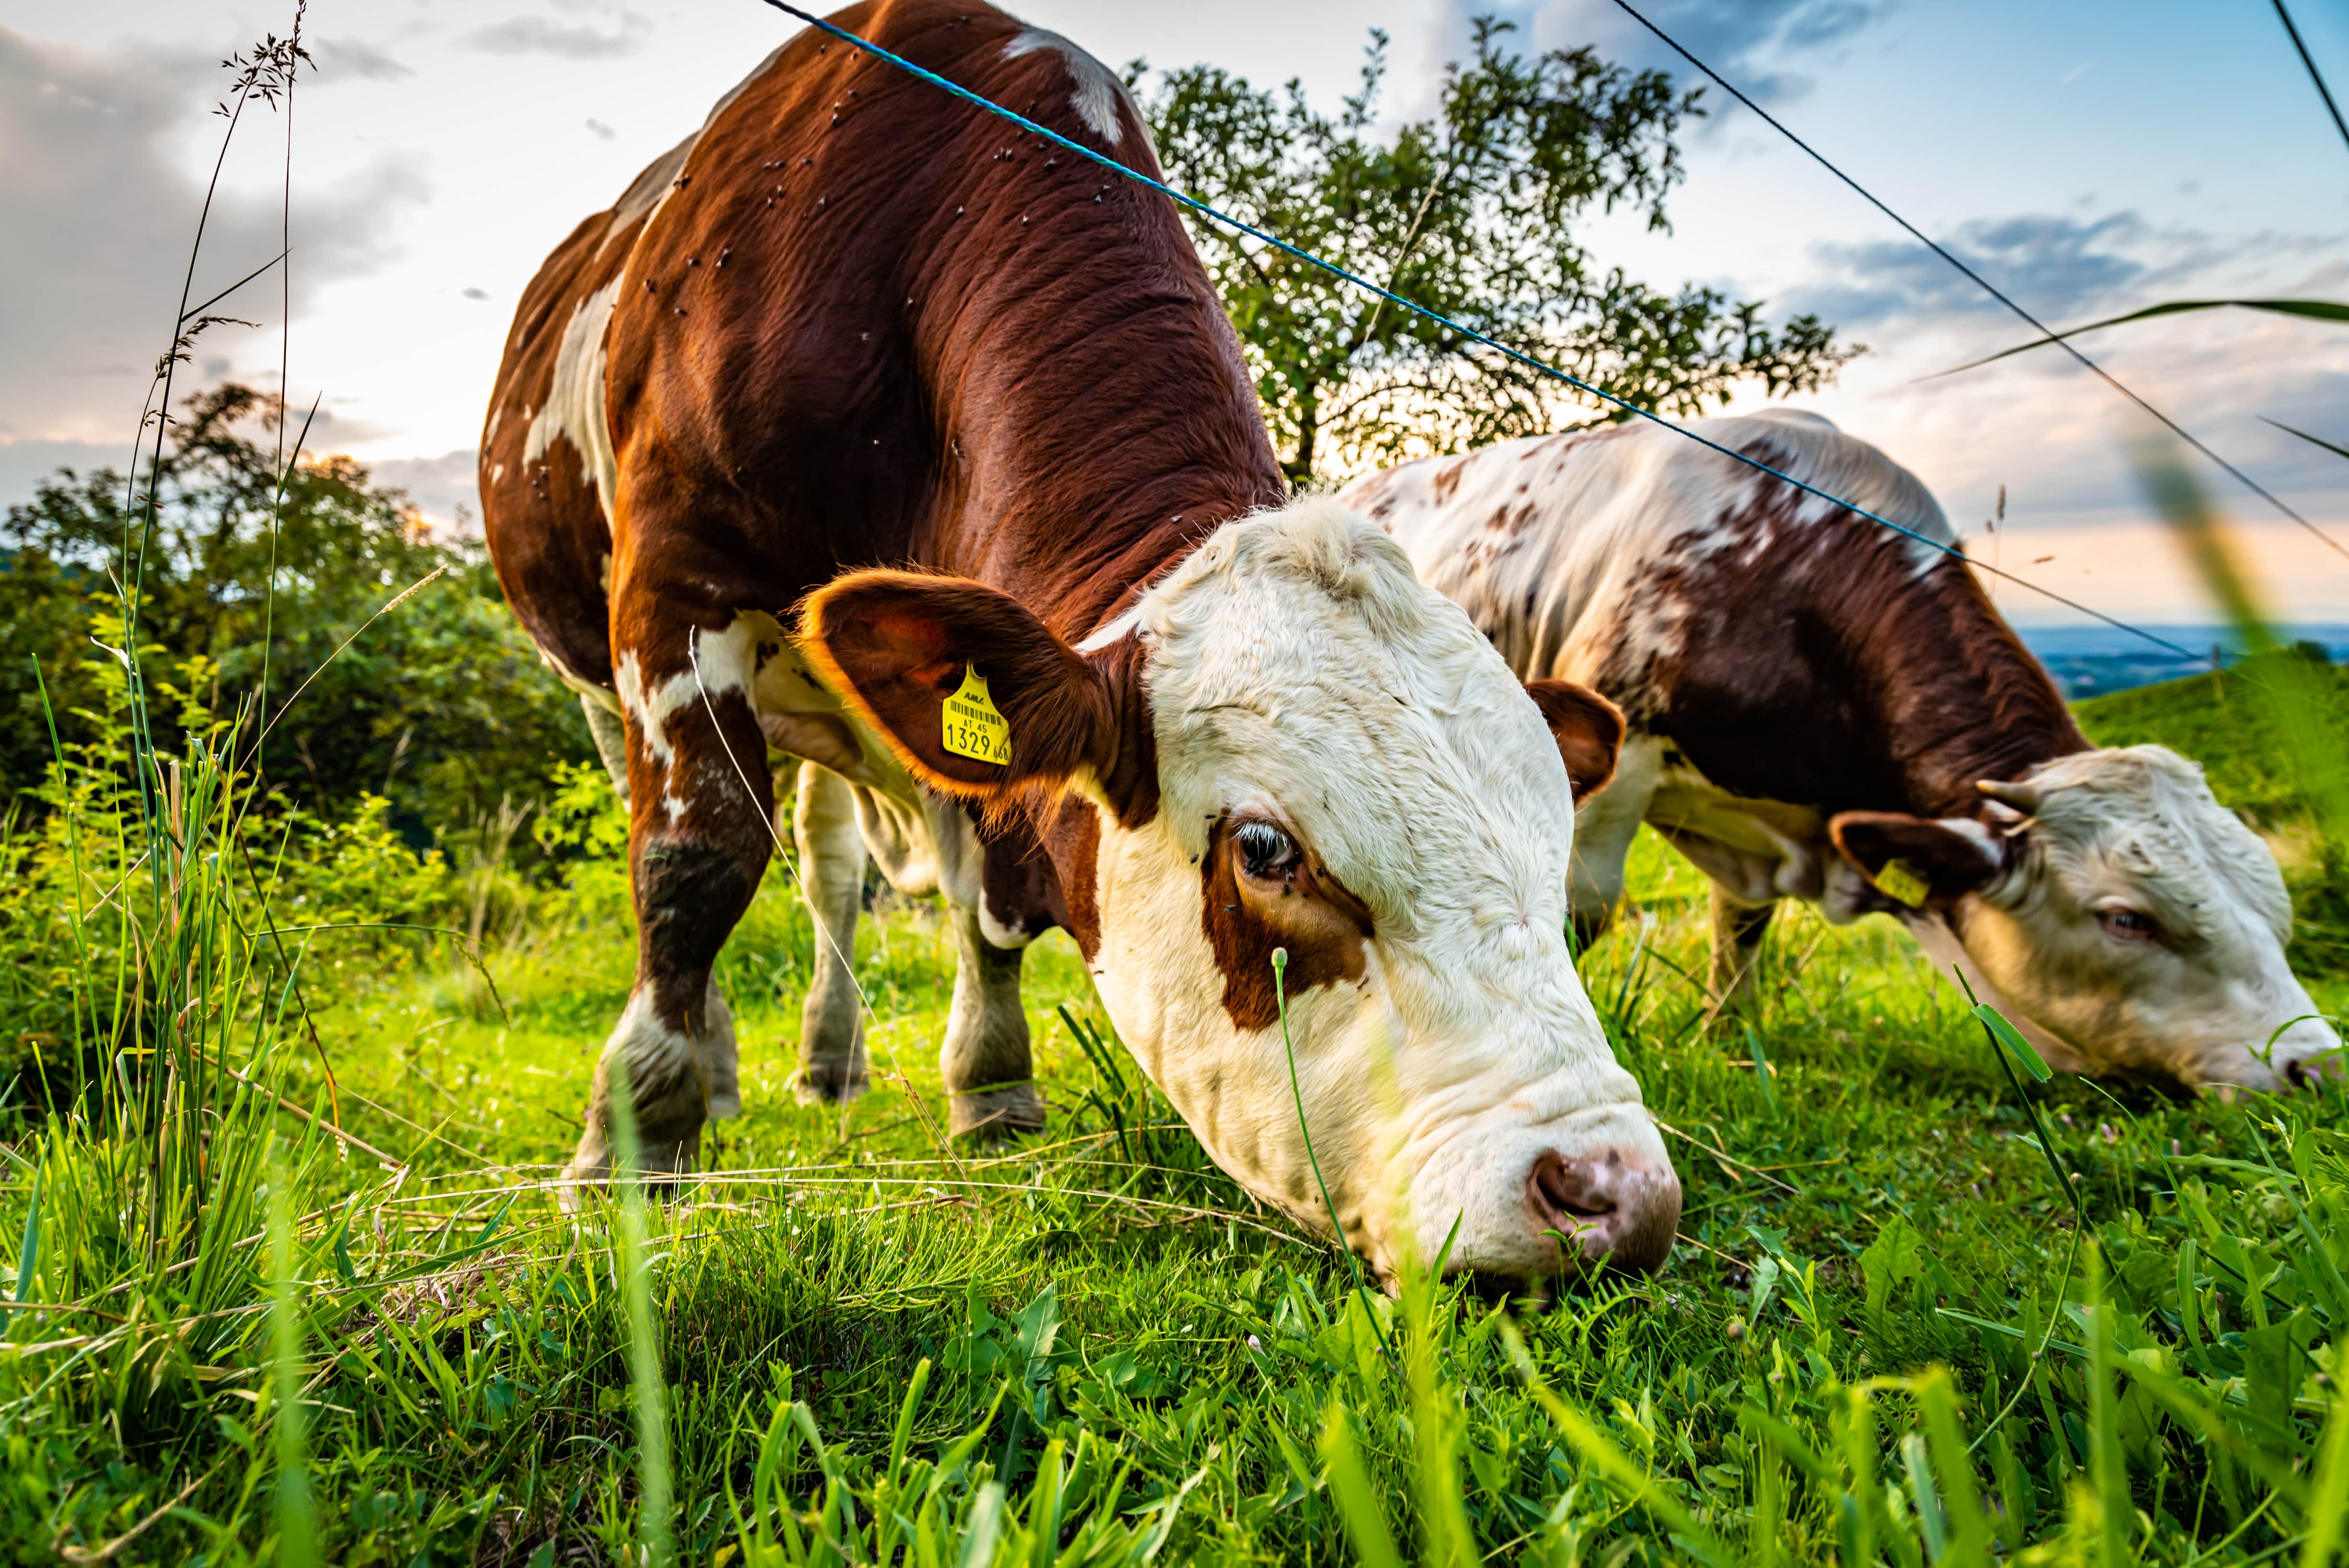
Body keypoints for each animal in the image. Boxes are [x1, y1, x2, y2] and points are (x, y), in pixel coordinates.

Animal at [481, 3, 1691, 1286]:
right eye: (1266, 851)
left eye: (1555, 840)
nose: (1611, 1192)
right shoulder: (673, 582)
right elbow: (694, 858)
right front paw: (636, 1132)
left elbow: (984, 892)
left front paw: (991, 1087)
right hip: (596, 675)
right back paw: (703, 1072)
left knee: (829, 860)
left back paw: (824, 1059)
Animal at [1353, 404, 2339, 1089]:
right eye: (2125, 918)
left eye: (2275, 903)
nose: (2318, 1067)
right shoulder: (1620, 747)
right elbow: (1579, 909)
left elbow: (1740, 927)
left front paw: (1725, 1040)